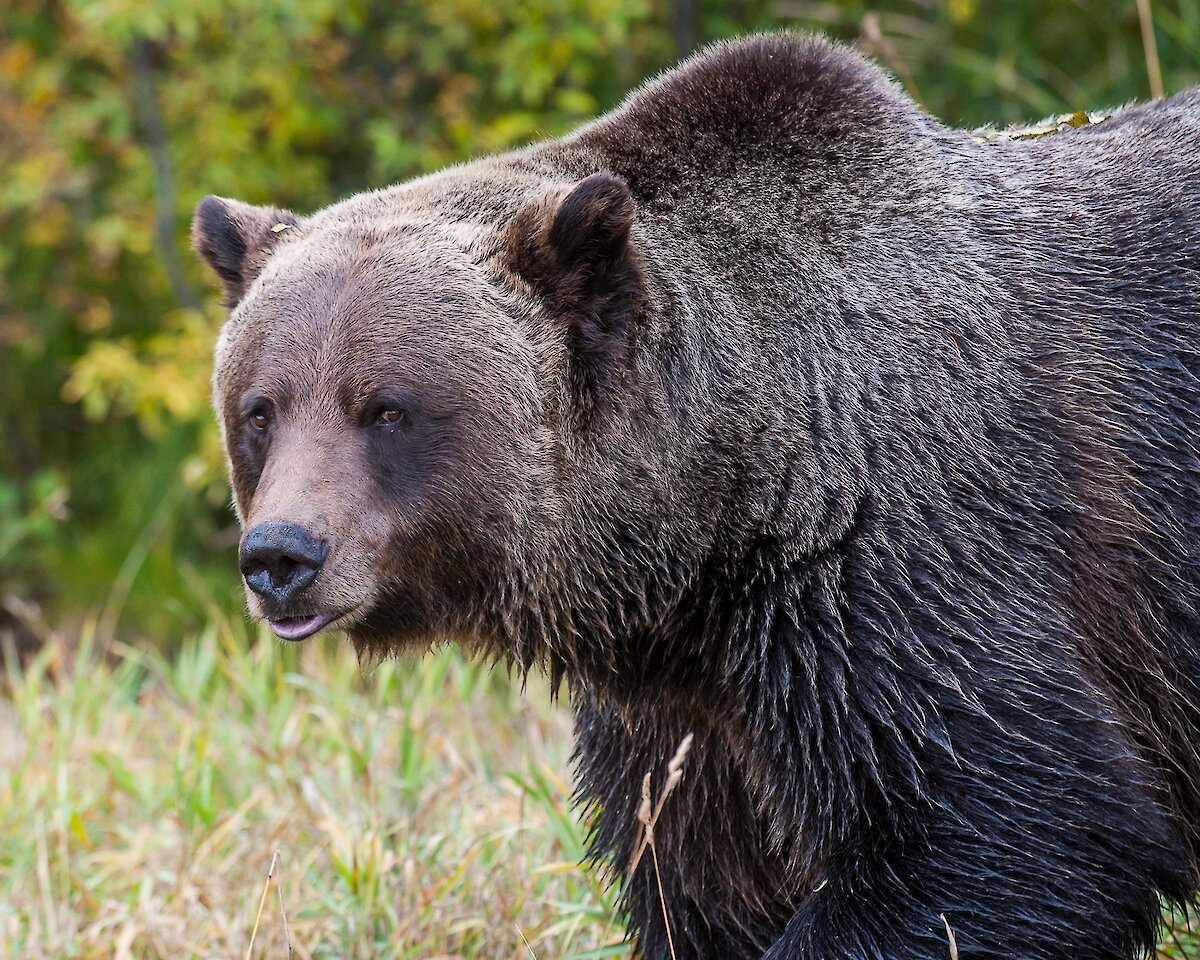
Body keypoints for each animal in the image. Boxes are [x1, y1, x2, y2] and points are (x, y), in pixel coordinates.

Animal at [192, 33, 1200, 955]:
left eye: (387, 408)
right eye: (261, 409)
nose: (280, 555)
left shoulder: (897, 564)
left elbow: (1006, 824)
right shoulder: (689, 718)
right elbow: (697, 882)